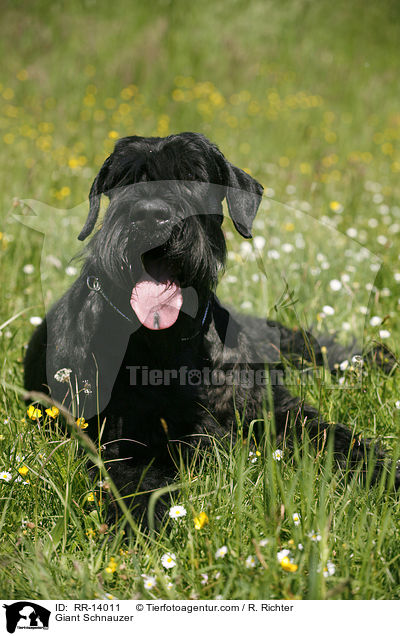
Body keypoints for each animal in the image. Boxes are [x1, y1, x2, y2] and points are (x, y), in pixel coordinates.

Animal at [25, 132, 400, 516]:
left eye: (193, 175)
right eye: (123, 179)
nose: (150, 215)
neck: (175, 346)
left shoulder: (279, 413)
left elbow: (335, 437)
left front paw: (385, 473)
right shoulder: (124, 440)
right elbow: (136, 487)